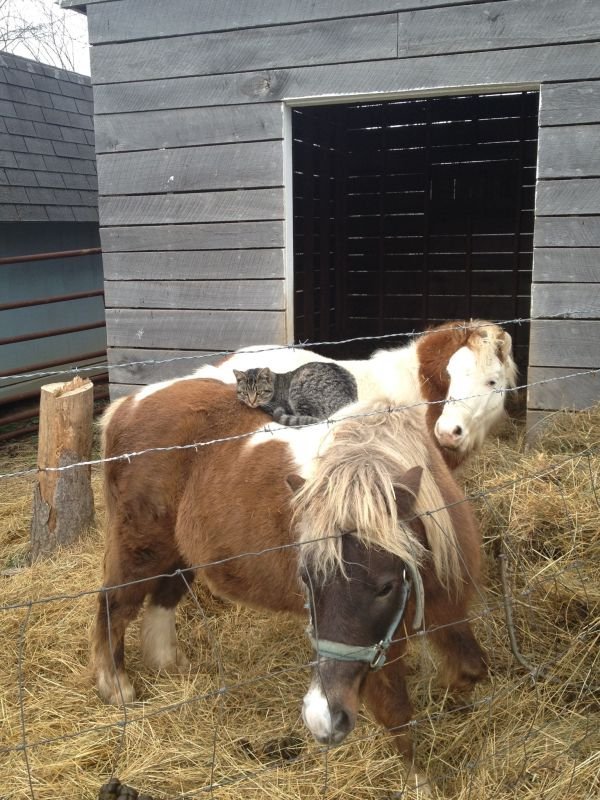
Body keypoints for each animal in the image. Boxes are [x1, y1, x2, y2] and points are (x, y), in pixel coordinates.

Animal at [94, 380, 488, 788]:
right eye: (306, 579)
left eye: (386, 586)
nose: (321, 718)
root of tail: (127, 406)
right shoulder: (383, 647)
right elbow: (396, 713)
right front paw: (420, 782)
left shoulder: (448, 610)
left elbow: (472, 668)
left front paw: (455, 700)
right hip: (141, 549)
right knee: (114, 605)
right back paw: (117, 686)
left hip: (181, 554)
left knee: (162, 600)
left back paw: (169, 665)